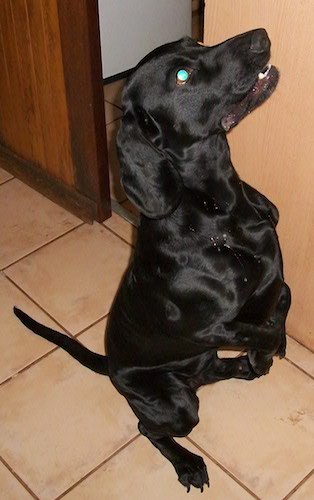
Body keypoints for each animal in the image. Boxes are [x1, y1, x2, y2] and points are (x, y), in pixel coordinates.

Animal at [14, 30, 290, 492]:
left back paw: (241, 368)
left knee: (213, 372)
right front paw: (266, 351)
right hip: (176, 403)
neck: (220, 212)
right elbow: (262, 331)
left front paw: (270, 348)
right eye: (182, 76)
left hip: (197, 367)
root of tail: (112, 367)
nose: (261, 36)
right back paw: (188, 462)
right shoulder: (209, 327)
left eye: (196, 41)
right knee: (149, 428)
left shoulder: (272, 280)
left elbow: (280, 304)